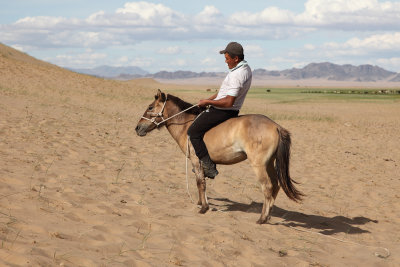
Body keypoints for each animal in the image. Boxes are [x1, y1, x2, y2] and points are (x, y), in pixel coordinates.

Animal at [134, 90, 304, 224]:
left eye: (150, 107)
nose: (137, 128)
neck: (186, 125)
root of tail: (276, 127)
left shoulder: (197, 161)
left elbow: (200, 183)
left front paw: (203, 208)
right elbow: (201, 183)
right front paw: (200, 202)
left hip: (259, 165)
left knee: (267, 187)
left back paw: (262, 218)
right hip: (269, 163)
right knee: (276, 185)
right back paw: (268, 216)